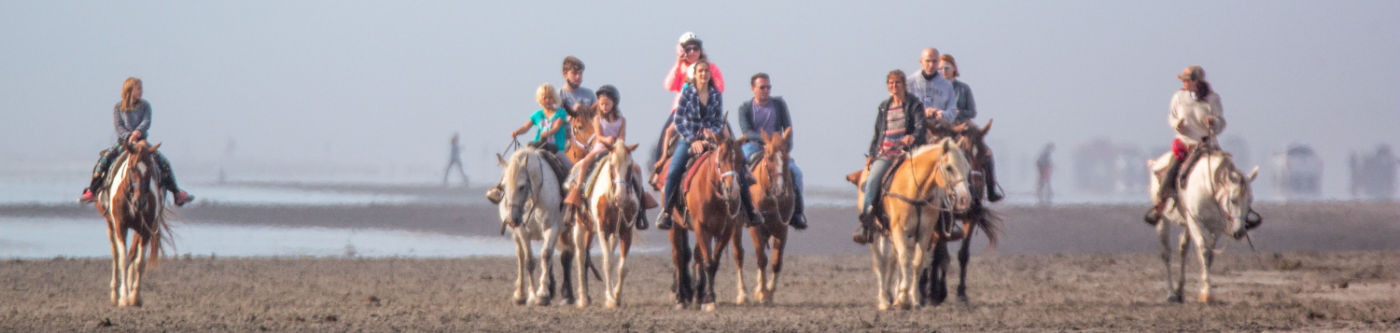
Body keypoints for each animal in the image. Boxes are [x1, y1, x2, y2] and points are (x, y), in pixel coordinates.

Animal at [95, 138, 170, 306]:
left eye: (150, 171)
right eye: (131, 168)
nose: (139, 202)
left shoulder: (146, 229)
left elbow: (139, 262)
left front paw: (135, 296)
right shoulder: (120, 226)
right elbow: (123, 260)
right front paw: (123, 298)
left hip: (138, 229)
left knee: (133, 255)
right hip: (110, 225)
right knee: (116, 255)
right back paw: (115, 293)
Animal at [733, 127, 800, 305]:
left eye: (786, 158)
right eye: (769, 158)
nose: (780, 190)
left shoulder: (781, 228)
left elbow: (776, 262)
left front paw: (769, 292)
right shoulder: (756, 228)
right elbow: (761, 259)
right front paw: (763, 293)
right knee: (739, 254)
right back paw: (742, 294)